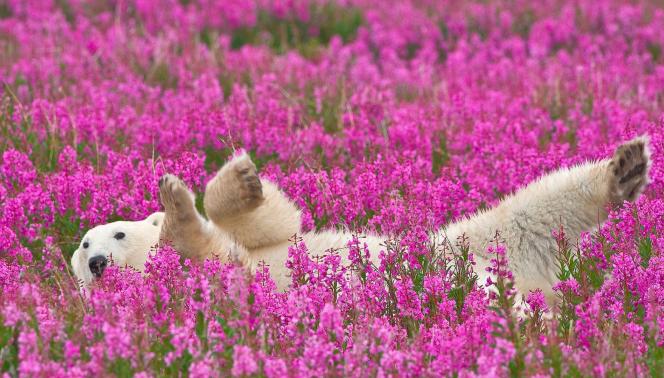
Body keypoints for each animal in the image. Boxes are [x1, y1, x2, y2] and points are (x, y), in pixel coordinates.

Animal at [70, 137, 652, 302]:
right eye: (82, 247)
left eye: (113, 232)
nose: (97, 262)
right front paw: (177, 208)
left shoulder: (259, 246)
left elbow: (276, 224)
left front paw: (232, 180)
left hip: (467, 243)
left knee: (534, 209)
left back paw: (625, 167)